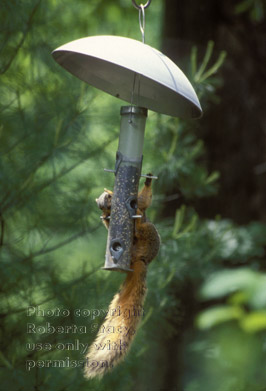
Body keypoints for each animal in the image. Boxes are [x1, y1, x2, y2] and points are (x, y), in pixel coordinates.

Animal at [84, 175, 160, 380]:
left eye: (110, 197)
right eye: (100, 205)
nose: (106, 209)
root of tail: (141, 260)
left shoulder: (139, 203)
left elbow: (143, 201)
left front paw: (148, 181)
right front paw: (106, 218)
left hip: (149, 235)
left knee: (142, 227)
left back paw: (138, 223)